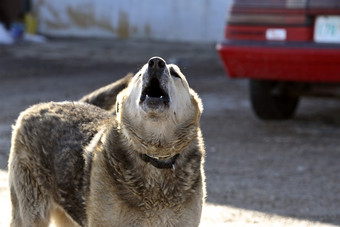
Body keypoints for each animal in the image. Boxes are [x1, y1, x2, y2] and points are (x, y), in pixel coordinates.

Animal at [7, 56, 206, 227]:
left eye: (175, 74)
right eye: (139, 74)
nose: (156, 63)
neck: (154, 156)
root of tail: (41, 105)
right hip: (32, 212)